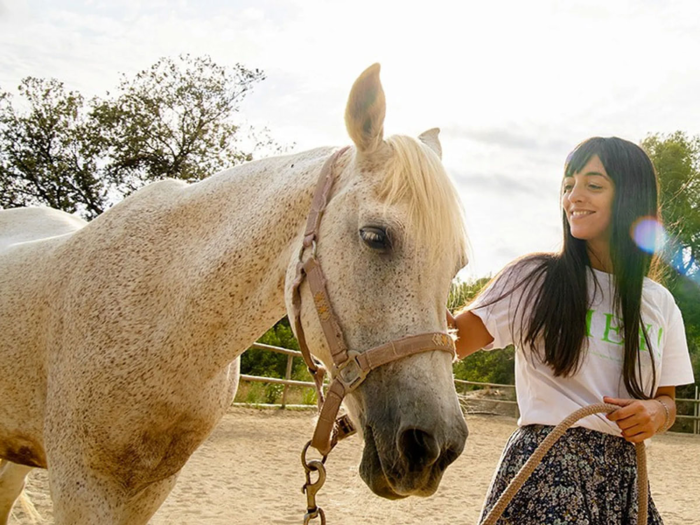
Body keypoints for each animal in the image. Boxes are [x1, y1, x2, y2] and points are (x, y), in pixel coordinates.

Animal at [0, 63, 470, 520]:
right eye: (374, 236)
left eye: (458, 265)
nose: (435, 447)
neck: (165, 324)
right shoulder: (82, 484)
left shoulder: (152, 487)